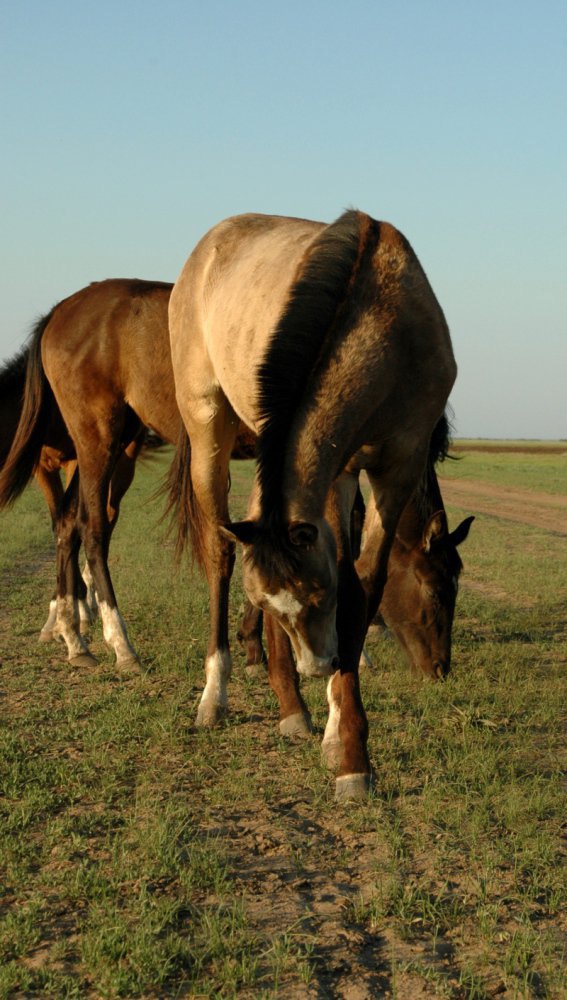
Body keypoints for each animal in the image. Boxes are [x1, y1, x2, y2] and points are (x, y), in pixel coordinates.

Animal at [170, 213, 470, 804]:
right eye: (434, 589)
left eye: (453, 587)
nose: (440, 668)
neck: (384, 325)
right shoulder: (337, 472)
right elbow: (350, 581)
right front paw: (352, 756)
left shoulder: (392, 466)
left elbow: (365, 585)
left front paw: (339, 737)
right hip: (208, 424)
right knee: (220, 555)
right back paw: (222, 696)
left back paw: (292, 706)